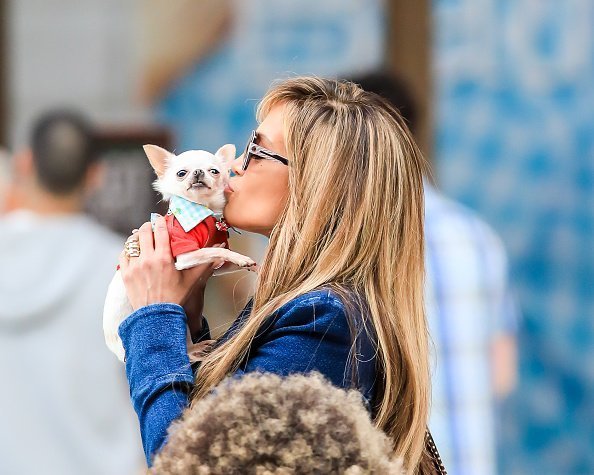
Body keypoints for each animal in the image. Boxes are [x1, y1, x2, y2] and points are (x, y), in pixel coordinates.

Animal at [103, 143, 254, 362]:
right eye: (181, 173)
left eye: (214, 171)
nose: (198, 172)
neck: (201, 209)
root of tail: (114, 347)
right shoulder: (185, 256)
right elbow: (211, 250)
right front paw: (240, 257)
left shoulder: (215, 267)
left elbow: (221, 256)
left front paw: (249, 262)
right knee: (186, 352)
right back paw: (196, 351)